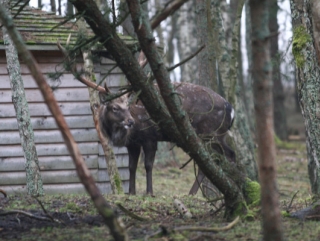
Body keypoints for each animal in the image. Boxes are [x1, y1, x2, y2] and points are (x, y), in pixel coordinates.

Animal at [99, 82, 235, 195]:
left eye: (128, 107)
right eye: (114, 108)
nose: (130, 121)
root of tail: (231, 110)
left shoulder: (150, 137)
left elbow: (148, 165)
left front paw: (149, 193)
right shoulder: (132, 143)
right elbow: (131, 167)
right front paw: (132, 193)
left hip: (212, 133)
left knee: (228, 155)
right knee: (216, 158)